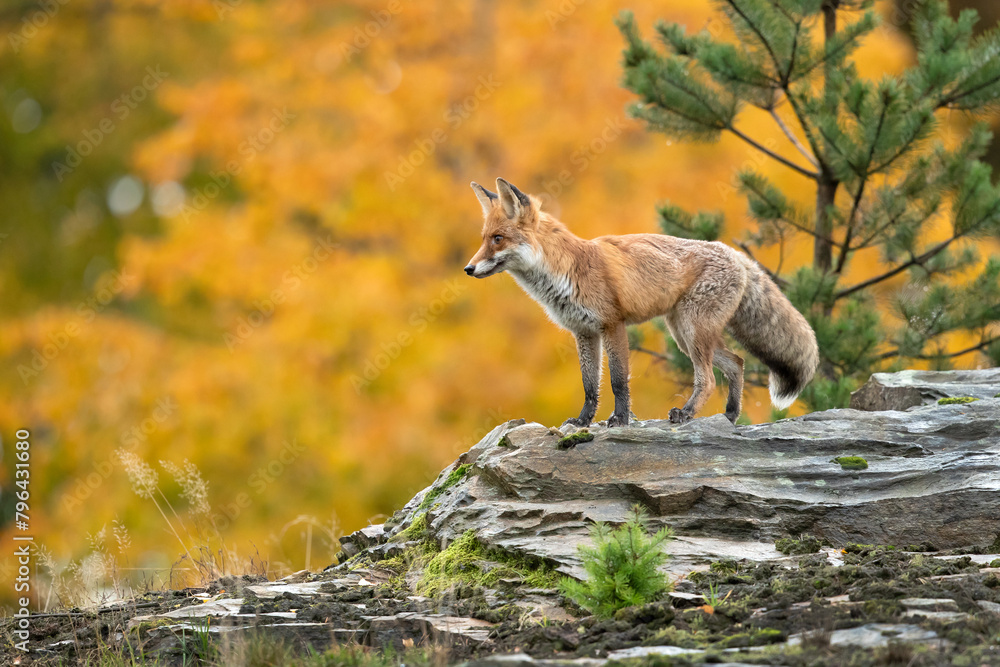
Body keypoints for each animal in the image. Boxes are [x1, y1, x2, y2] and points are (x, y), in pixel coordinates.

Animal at [464, 177, 820, 428]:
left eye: (498, 239)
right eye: (483, 239)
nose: (468, 269)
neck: (567, 270)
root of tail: (733, 252)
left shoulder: (613, 325)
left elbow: (619, 382)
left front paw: (619, 420)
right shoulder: (584, 333)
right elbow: (590, 386)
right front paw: (582, 421)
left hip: (692, 332)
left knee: (707, 380)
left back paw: (686, 413)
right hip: (684, 335)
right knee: (737, 362)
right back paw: (730, 415)